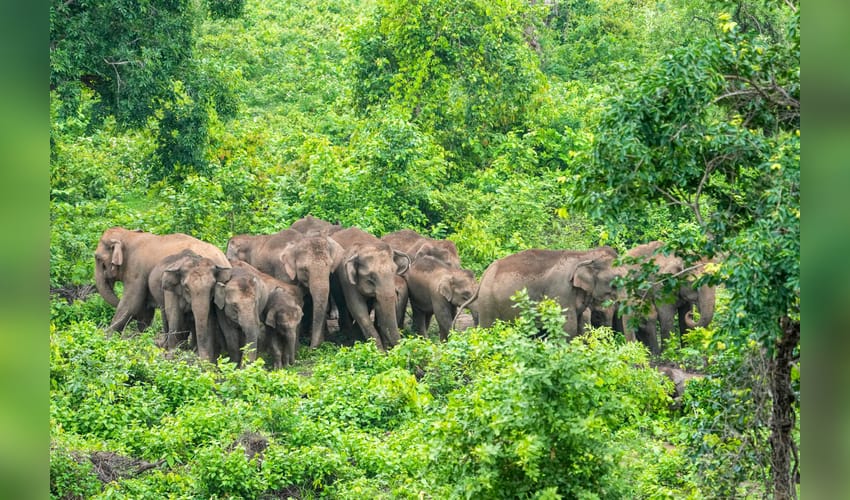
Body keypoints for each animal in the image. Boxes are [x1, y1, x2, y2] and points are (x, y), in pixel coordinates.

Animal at [94, 227, 230, 334]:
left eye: (97, 258)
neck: (129, 234)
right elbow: (145, 312)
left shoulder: (137, 270)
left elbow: (131, 304)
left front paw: (107, 336)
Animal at [470, 246, 622, 338]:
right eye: (615, 283)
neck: (584, 254)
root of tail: (485, 273)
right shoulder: (561, 291)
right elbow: (568, 327)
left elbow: (579, 325)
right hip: (487, 301)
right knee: (488, 329)